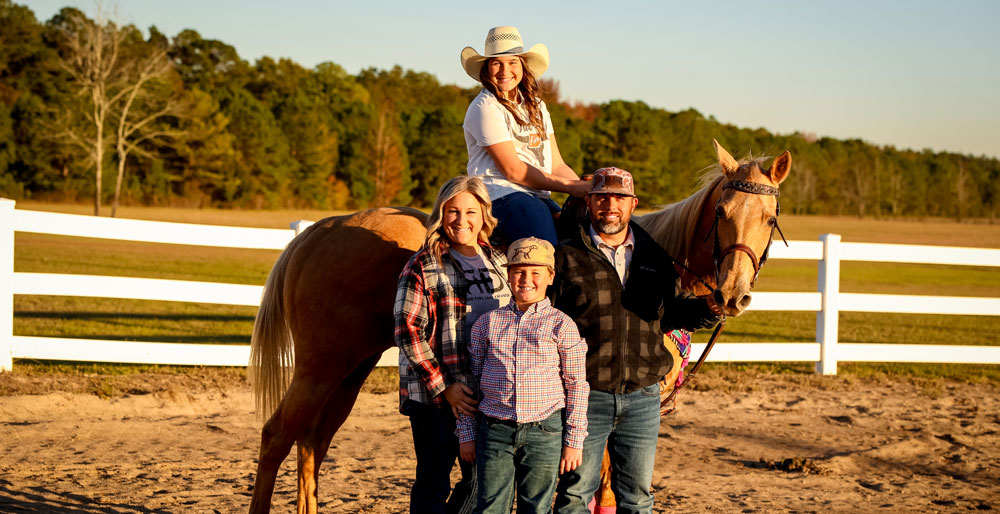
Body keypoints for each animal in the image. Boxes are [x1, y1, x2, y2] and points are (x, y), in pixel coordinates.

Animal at [248, 140, 788, 512]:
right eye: (722, 211)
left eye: (769, 216)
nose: (732, 293)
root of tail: (321, 230)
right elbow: (600, 487)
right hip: (320, 365)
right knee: (277, 436)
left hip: (350, 369)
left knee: (312, 442)